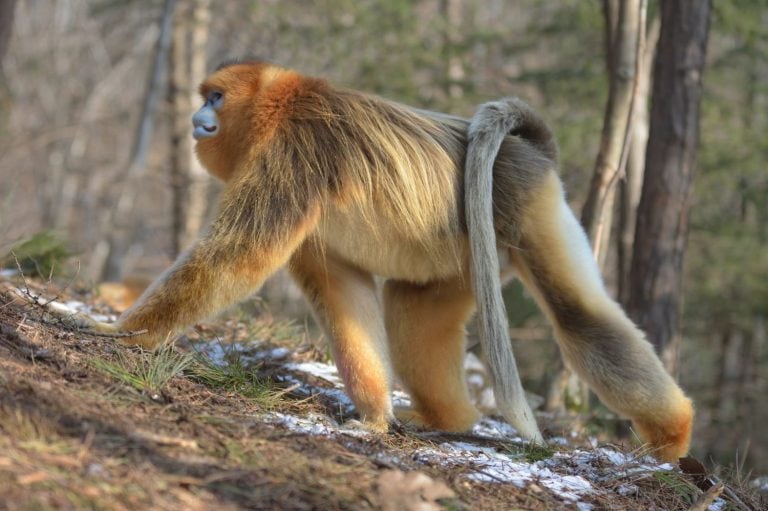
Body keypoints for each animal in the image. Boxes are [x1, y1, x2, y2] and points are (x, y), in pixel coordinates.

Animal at [88, 60, 692, 461]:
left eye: (215, 98)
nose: (197, 117)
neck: (280, 109)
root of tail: (531, 152)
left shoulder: (290, 157)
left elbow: (237, 259)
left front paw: (118, 333)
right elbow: (342, 291)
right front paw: (375, 419)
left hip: (526, 202)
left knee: (577, 317)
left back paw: (672, 439)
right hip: (470, 252)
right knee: (414, 316)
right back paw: (450, 420)